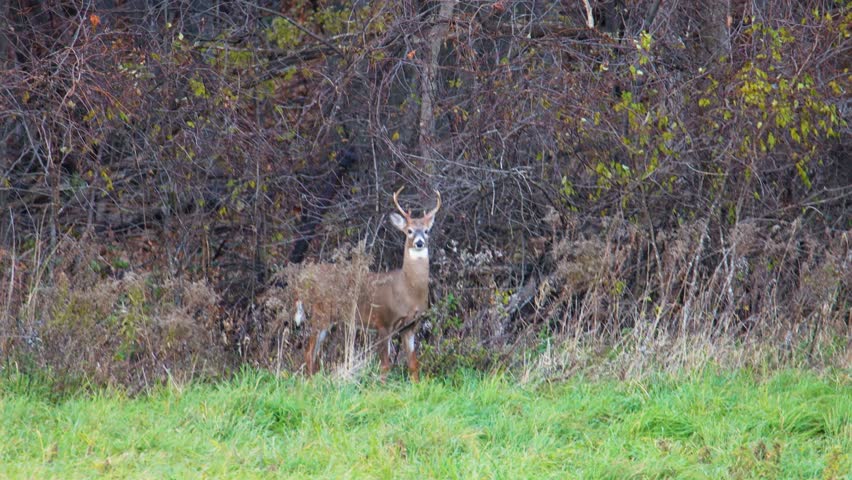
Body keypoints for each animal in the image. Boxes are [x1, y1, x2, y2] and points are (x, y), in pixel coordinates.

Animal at [301, 187, 441, 381]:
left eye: (427, 231)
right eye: (409, 231)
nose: (419, 243)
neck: (408, 291)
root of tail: (308, 281)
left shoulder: (410, 326)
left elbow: (413, 364)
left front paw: (416, 385)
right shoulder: (383, 321)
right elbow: (385, 365)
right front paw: (381, 386)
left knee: (313, 352)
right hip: (320, 313)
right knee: (308, 352)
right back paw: (310, 382)